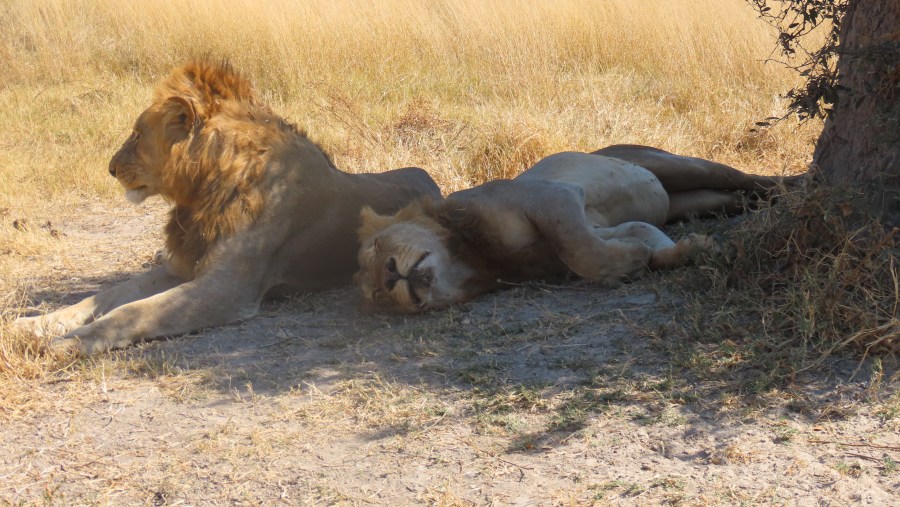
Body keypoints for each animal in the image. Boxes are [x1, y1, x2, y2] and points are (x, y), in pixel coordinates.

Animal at [17, 59, 442, 354]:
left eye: (136, 135)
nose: (110, 168)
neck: (201, 190)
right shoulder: (181, 266)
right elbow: (102, 296)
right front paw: (29, 325)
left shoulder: (225, 288)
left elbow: (130, 312)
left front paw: (64, 344)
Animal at [356, 145, 800, 314]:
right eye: (377, 295)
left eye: (376, 248)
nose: (390, 275)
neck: (477, 256)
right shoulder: (606, 227)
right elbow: (639, 238)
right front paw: (687, 250)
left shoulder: (554, 197)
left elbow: (579, 249)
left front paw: (631, 262)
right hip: (696, 200)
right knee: (736, 197)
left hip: (676, 165)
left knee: (748, 178)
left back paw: (797, 185)